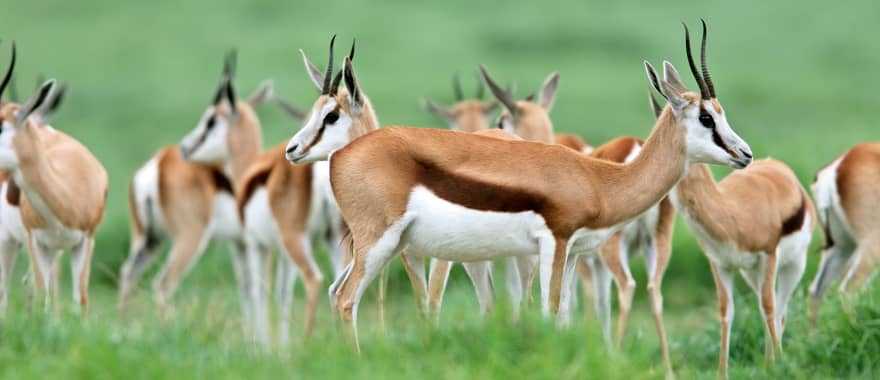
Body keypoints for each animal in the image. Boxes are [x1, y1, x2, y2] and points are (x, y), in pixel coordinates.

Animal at [0, 43, 108, 314]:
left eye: (0, 127)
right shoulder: (37, 242)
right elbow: (41, 295)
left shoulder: (84, 241)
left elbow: (79, 299)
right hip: (7, 241)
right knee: (4, 291)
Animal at [117, 52, 276, 328]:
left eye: (211, 121)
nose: (185, 146)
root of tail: (158, 163)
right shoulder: (258, 241)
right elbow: (260, 288)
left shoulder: (239, 243)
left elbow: (247, 289)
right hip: (189, 238)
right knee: (163, 284)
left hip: (148, 238)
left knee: (128, 273)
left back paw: (122, 325)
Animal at [290, 21, 756, 350]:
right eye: (706, 118)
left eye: (721, 112)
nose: (745, 154)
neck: (598, 178)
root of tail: (341, 155)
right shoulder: (554, 244)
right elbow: (547, 314)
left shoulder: (573, 254)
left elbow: (563, 317)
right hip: (381, 243)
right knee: (346, 298)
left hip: (385, 247)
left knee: (334, 292)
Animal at [656, 20, 816, 380]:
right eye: (706, 117)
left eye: (717, 114)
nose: (745, 154)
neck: (732, 214)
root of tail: (778, 166)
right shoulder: (721, 265)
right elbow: (726, 313)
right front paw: (723, 372)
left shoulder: (768, 255)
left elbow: (769, 310)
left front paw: (782, 366)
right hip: (751, 273)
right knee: (765, 305)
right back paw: (768, 361)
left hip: (790, 265)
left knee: (778, 308)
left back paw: (775, 361)